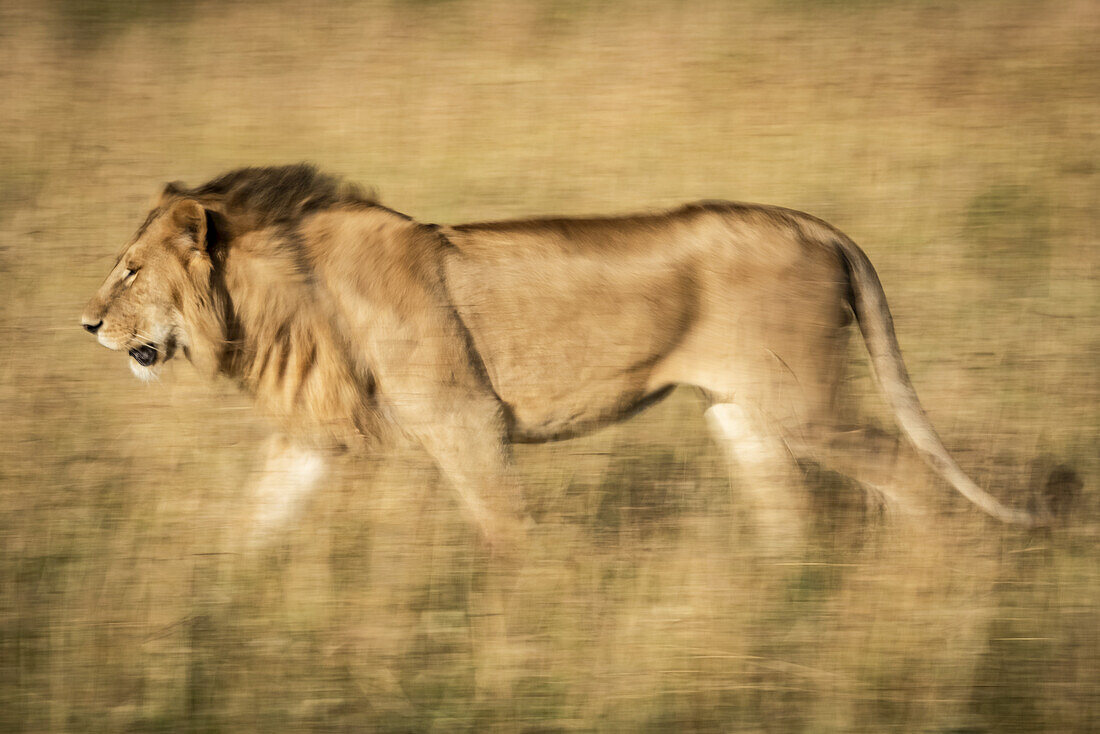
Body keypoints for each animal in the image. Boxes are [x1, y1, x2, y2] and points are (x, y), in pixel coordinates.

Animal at [81, 161, 1034, 550]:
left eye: (129, 270)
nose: (85, 324)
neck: (275, 302)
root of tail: (817, 224)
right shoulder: (312, 437)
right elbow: (252, 523)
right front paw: (208, 602)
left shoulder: (464, 418)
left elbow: (506, 531)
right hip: (742, 414)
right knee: (787, 515)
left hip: (806, 405)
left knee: (909, 475)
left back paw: (931, 581)